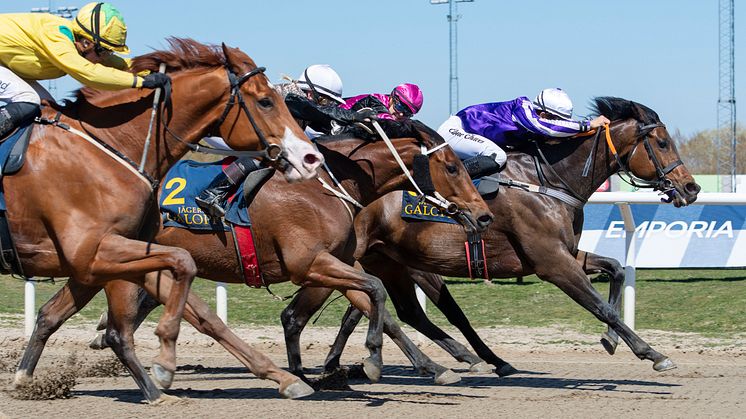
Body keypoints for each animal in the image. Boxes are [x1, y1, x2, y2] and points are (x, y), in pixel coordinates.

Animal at [8, 37, 322, 400]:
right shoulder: (94, 252)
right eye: (266, 101)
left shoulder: (103, 258)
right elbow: (183, 264)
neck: (111, 147)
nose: (312, 158)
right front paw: (164, 365)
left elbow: (192, 303)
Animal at [55, 120, 494, 400]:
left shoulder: (338, 263)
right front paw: (372, 360)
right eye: (452, 166)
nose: (484, 215)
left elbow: (374, 303)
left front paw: (433, 365)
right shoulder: (310, 263)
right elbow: (376, 295)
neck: (330, 186)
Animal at [278, 97, 696, 378]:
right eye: (662, 143)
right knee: (300, 315)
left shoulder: (564, 252)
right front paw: (652, 353)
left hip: (387, 261)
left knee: (397, 310)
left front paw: (611, 340)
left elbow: (616, 269)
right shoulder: (551, 262)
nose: (690, 189)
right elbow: (599, 306)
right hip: (340, 260)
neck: (548, 181)